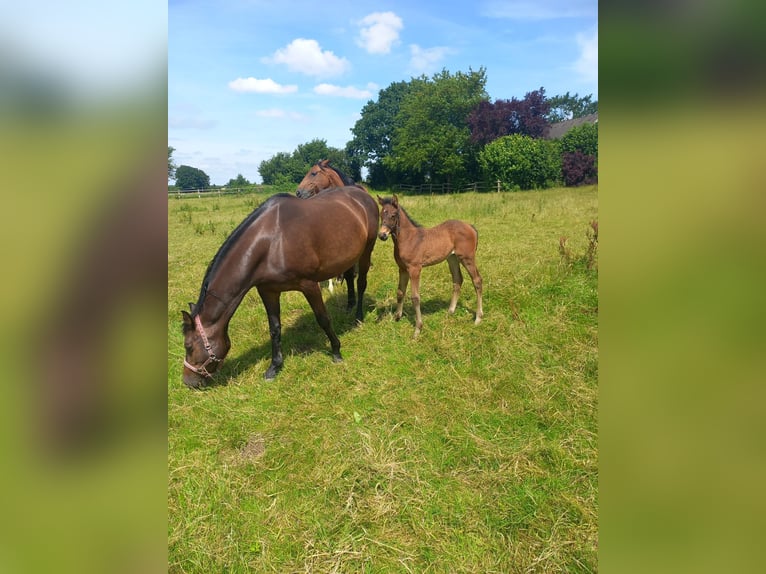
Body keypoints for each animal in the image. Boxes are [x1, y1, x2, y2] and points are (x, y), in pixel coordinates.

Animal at [183, 187, 380, 390]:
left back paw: (358, 317)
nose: (188, 382)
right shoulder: (268, 291)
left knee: (361, 283)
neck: (272, 242)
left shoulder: (310, 285)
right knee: (349, 277)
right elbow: (275, 329)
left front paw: (336, 352)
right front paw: (274, 367)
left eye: (188, 346)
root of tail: (361, 193)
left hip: (367, 249)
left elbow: (323, 319)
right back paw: (349, 306)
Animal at [380, 195, 486, 338]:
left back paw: (478, 318)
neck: (409, 239)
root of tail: (470, 226)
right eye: (381, 214)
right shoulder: (402, 269)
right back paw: (450, 312)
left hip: (467, 258)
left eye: (393, 215)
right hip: (452, 258)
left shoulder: (415, 269)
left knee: (477, 280)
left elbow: (415, 297)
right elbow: (400, 292)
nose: (382, 235)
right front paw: (397, 317)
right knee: (458, 280)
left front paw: (417, 329)